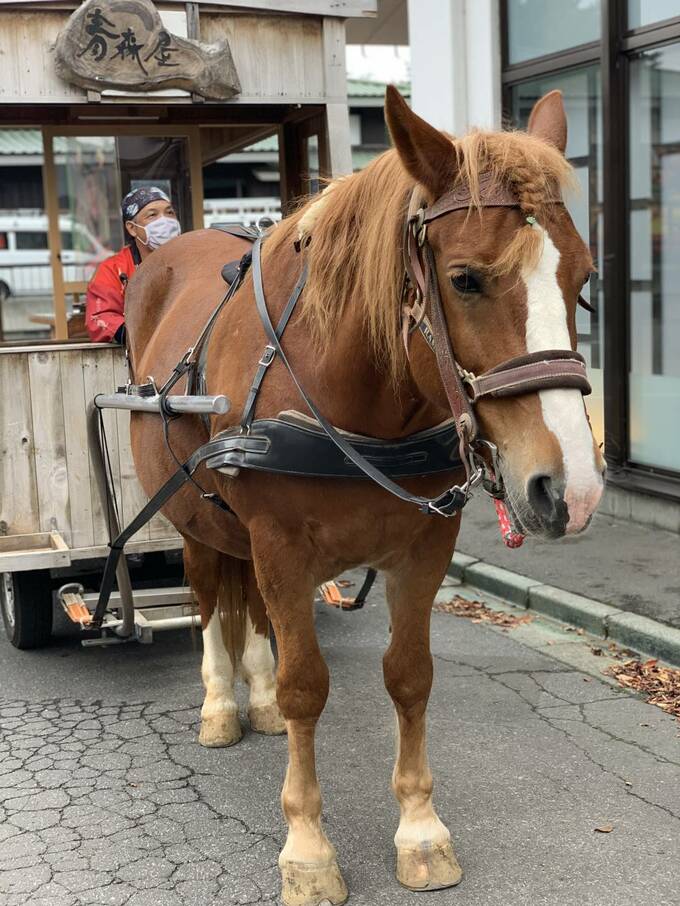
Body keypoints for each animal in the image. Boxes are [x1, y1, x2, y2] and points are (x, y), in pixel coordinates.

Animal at [124, 86, 605, 905]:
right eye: (466, 278)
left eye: (583, 281)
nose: (569, 490)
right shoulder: (281, 545)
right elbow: (307, 686)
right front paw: (308, 848)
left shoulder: (422, 548)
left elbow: (408, 677)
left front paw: (420, 831)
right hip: (192, 517)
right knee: (210, 596)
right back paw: (221, 704)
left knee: (251, 610)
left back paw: (254, 695)